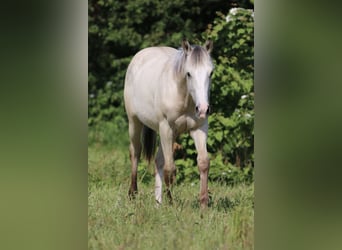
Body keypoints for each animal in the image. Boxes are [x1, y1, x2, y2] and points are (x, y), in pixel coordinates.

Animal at [123, 38, 214, 207]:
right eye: (189, 73)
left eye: (210, 73)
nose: (203, 109)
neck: (184, 98)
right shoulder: (166, 128)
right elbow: (170, 168)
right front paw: (172, 204)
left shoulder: (199, 129)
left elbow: (203, 162)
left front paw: (203, 204)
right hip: (135, 123)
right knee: (135, 152)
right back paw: (133, 194)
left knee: (158, 161)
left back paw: (158, 202)